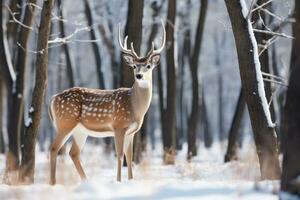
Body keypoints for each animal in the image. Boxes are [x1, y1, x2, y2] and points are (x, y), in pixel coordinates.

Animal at [48, 21, 165, 184]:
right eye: (134, 66)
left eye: (148, 65)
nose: (139, 75)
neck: (135, 107)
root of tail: (52, 98)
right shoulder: (119, 126)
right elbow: (120, 155)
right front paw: (118, 181)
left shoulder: (132, 131)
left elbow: (129, 157)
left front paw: (131, 180)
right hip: (65, 122)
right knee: (54, 149)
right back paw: (53, 184)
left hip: (79, 130)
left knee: (73, 153)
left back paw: (85, 181)